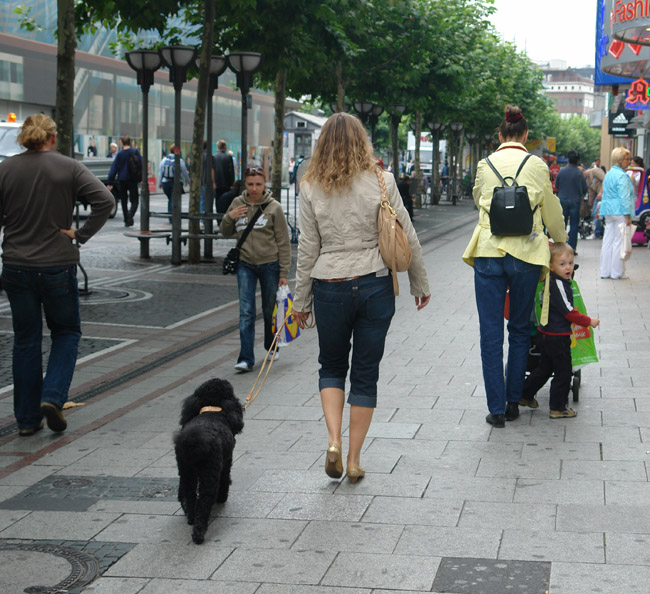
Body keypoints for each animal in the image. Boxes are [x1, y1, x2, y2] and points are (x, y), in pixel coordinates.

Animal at [172, 376, 243, 544]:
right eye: (231, 393)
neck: (212, 411)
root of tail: (193, 442)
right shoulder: (226, 462)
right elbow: (225, 480)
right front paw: (222, 498)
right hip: (210, 472)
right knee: (204, 500)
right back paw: (199, 532)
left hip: (186, 471)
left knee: (189, 495)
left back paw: (191, 517)